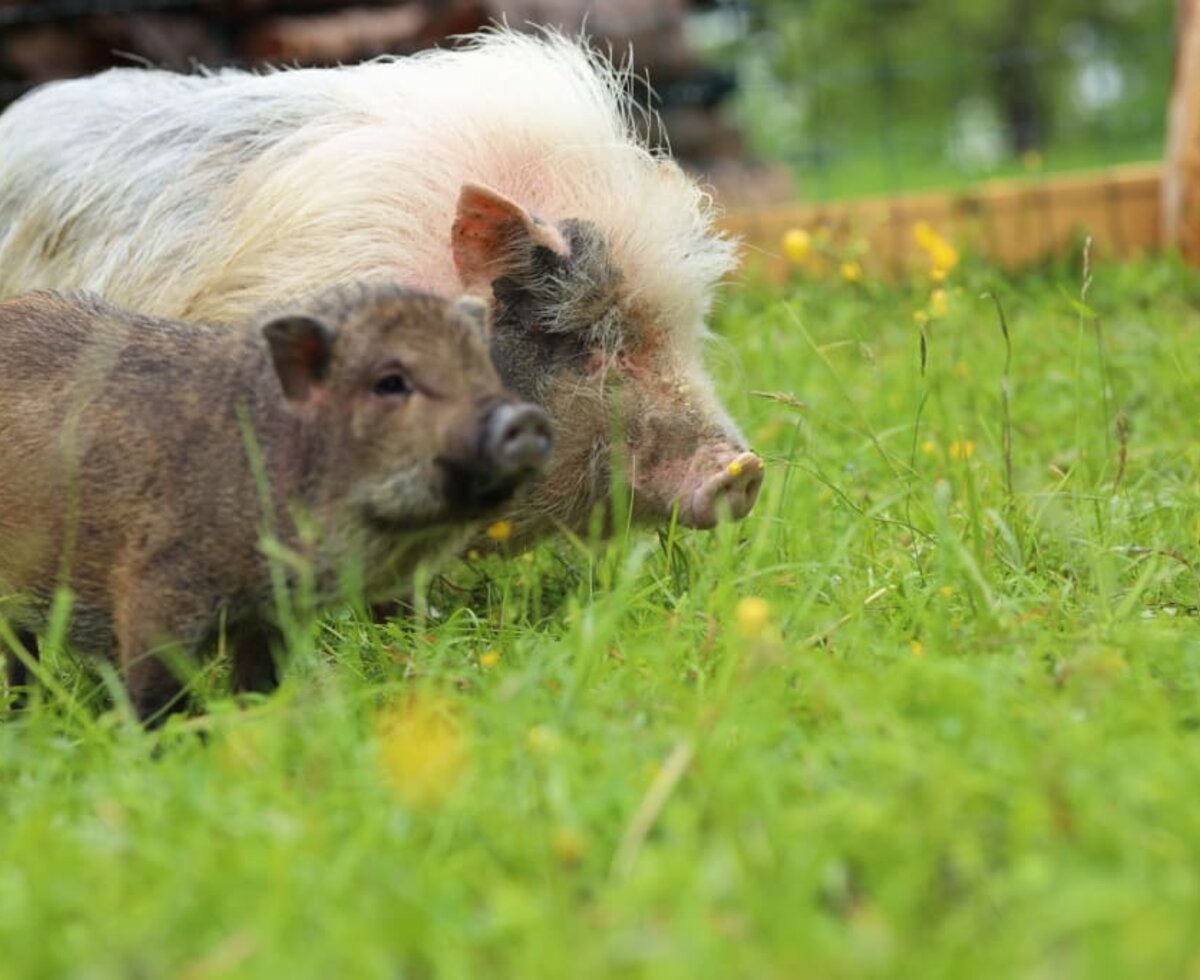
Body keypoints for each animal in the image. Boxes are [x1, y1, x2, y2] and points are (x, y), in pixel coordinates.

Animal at [0, 283, 549, 719]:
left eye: (481, 371)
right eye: (390, 382)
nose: (526, 419)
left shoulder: (268, 618)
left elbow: (258, 685)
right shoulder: (155, 589)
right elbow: (159, 696)